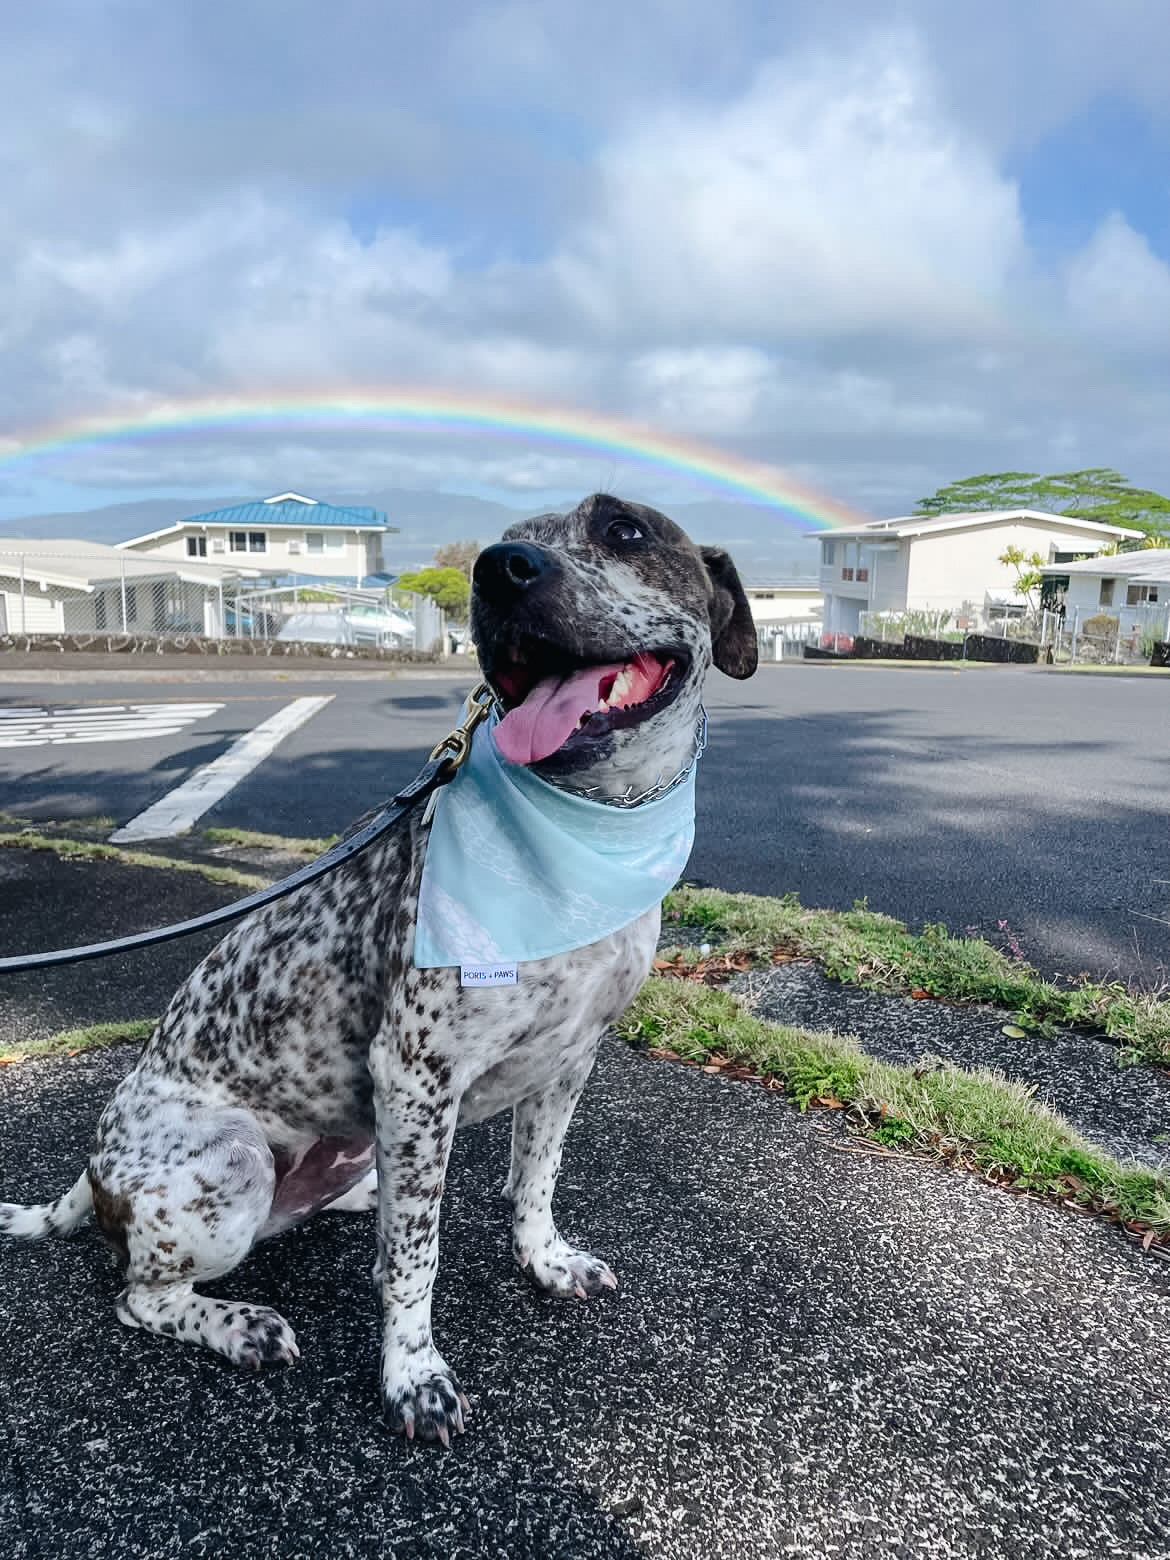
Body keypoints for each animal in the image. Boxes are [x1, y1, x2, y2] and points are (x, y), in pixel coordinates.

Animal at [2, 492, 761, 1441]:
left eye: (624, 530)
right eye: (508, 542)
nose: (499, 569)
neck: (584, 829)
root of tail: (94, 1172)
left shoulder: (568, 1062)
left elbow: (536, 1180)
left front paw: (543, 1259)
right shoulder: (417, 1074)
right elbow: (413, 1261)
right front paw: (413, 1374)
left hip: (357, 1139)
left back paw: (354, 1197)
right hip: (234, 1159)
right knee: (142, 1294)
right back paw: (239, 1324)